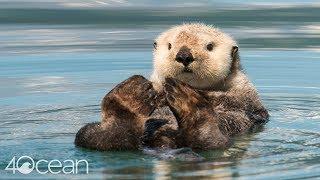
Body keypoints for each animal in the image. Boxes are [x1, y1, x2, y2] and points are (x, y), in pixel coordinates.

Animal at [75, 23, 270, 151]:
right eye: (170, 46)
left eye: (209, 46)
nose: (184, 55)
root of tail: (165, 142)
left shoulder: (246, 96)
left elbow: (235, 102)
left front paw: (203, 95)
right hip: (91, 134)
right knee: (99, 139)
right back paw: (129, 98)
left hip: (218, 139)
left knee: (210, 142)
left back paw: (188, 102)